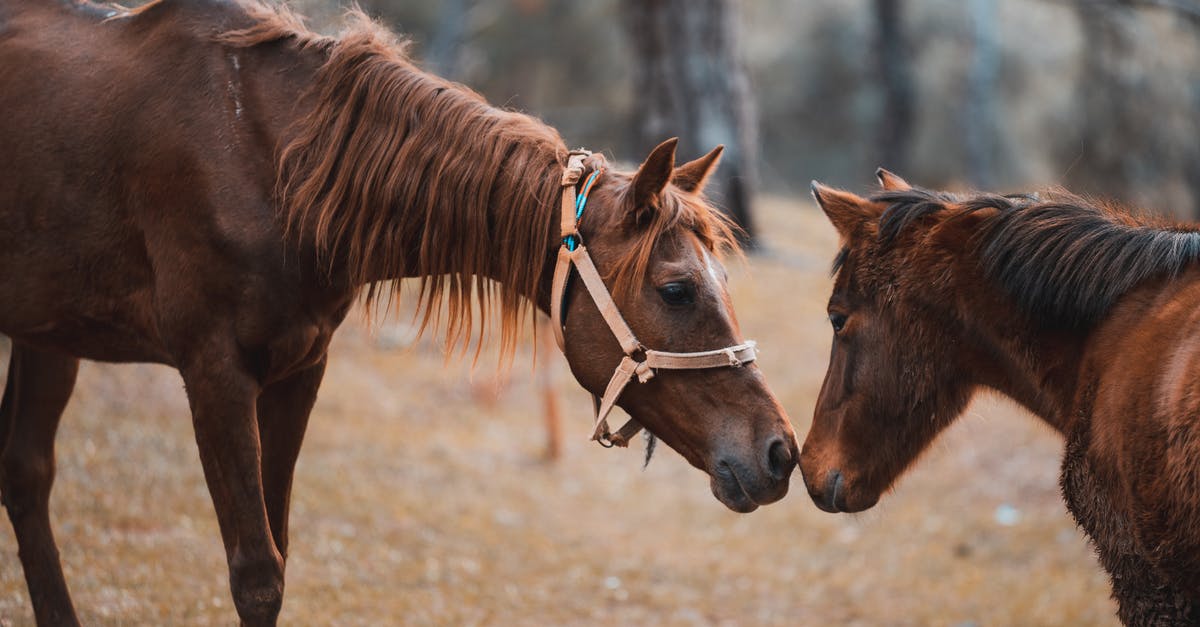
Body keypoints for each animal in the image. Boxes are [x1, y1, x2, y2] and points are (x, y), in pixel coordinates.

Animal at [4, 2, 801, 619]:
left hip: (49, 335)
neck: (270, 164)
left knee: (26, 474)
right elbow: (257, 576)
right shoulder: (215, 375)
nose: (779, 452)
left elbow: (279, 556)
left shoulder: (298, 371)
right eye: (677, 290)